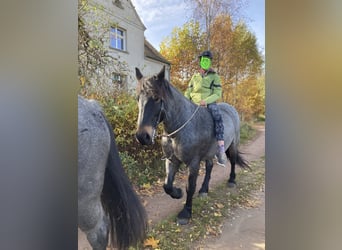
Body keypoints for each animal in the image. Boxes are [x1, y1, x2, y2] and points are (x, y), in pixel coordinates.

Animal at [134, 66, 248, 225]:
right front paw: (177, 193)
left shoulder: (193, 163)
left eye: (156, 98)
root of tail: (231, 109)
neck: (180, 129)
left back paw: (231, 180)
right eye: (137, 98)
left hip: (232, 145)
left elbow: (190, 187)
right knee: (209, 167)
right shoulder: (171, 160)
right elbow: (167, 185)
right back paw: (204, 189)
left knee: (232, 160)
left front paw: (186, 213)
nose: (142, 136)